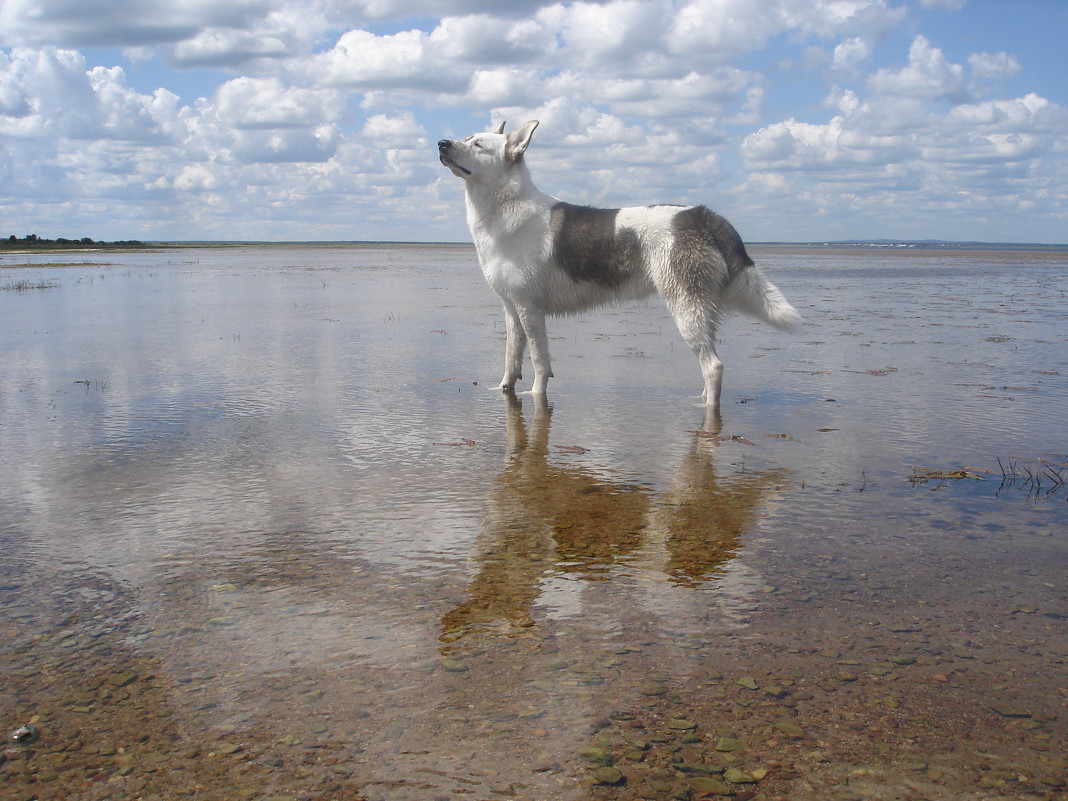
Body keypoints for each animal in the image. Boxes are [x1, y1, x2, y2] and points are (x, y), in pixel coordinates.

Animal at [435, 120, 803, 410]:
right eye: (467, 137)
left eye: (478, 145)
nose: (441, 142)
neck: (503, 207)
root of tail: (702, 214)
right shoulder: (513, 310)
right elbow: (512, 359)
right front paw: (504, 390)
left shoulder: (531, 309)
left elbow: (540, 362)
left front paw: (536, 396)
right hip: (701, 309)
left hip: (687, 307)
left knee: (714, 366)